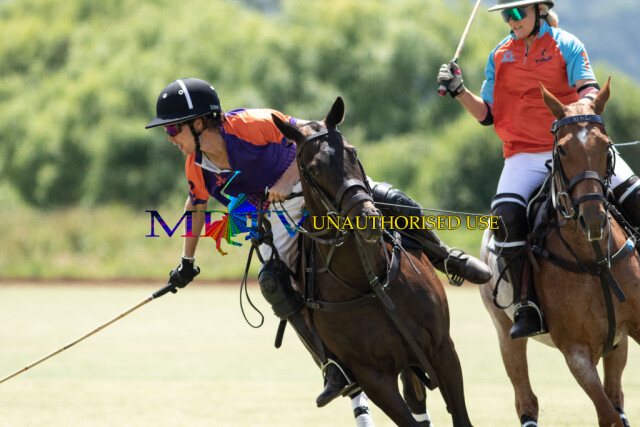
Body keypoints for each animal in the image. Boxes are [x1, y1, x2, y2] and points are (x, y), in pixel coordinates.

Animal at [272, 97, 474, 426]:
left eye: (353, 151)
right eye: (313, 170)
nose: (367, 219)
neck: (369, 280)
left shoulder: (443, 349)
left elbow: (460, 416)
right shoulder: (373, 378)